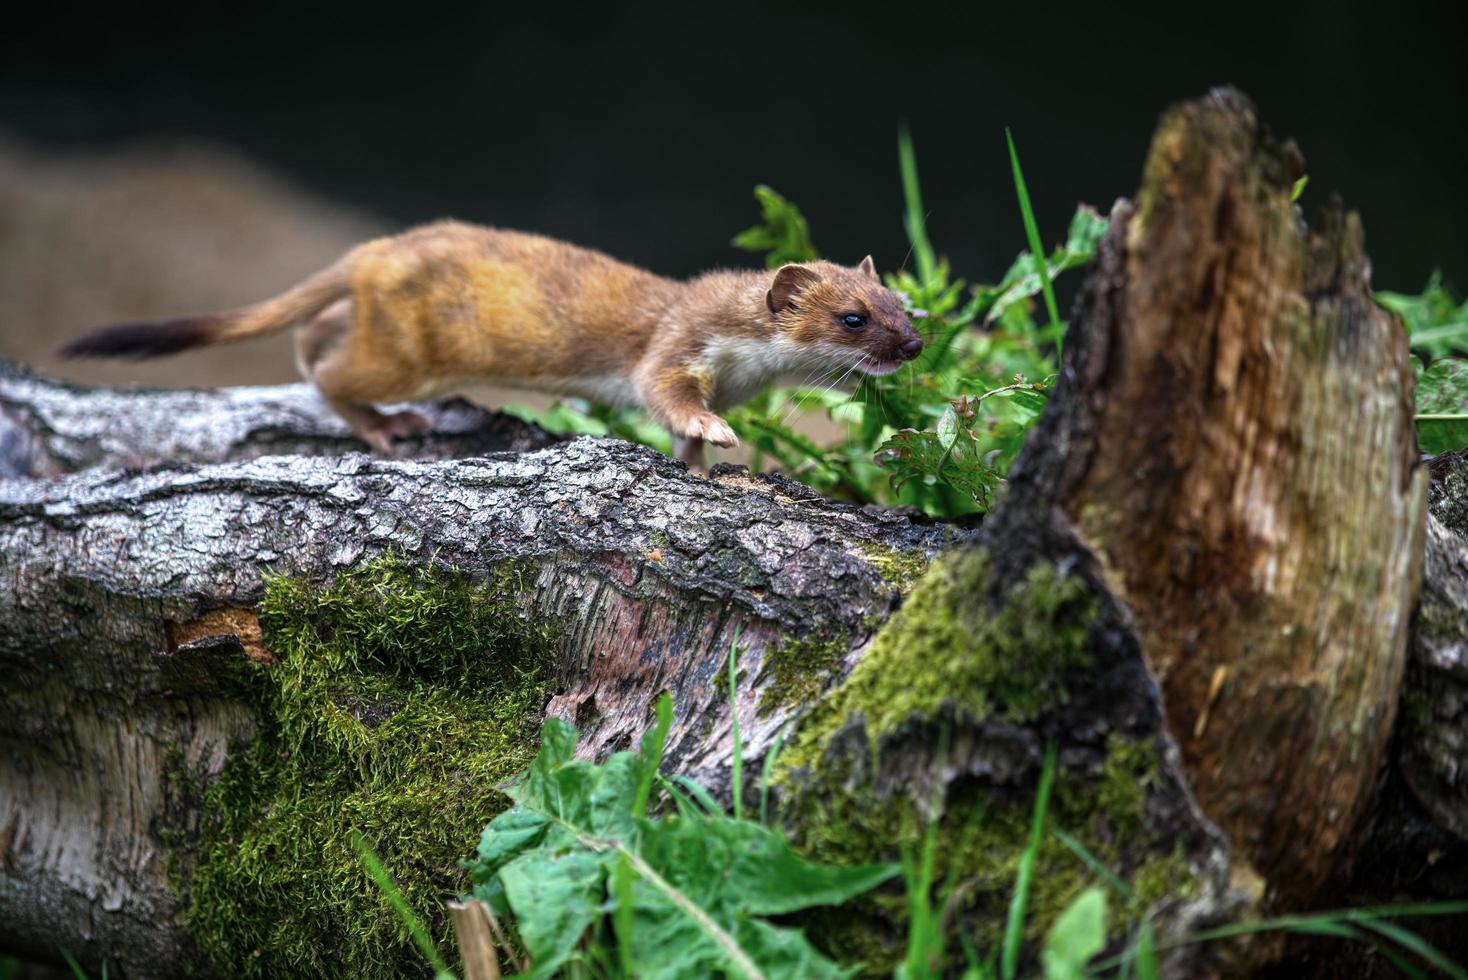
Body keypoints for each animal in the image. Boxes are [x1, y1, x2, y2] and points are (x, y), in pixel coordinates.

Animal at [66, 220, 927, 460]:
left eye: (903, 302)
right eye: (854, 317)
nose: (914, 346)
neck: (746, 372)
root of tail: (372, 250)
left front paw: (707, 460)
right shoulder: (675, 345)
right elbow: (665, 394)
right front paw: (710, 430)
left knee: (314, 333)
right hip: (405, 353)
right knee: (329, 371)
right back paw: (388, 428)